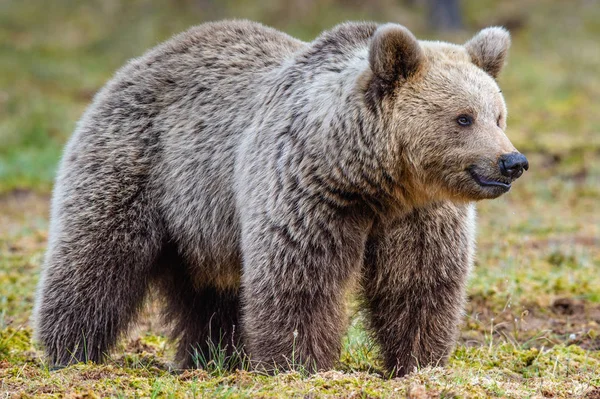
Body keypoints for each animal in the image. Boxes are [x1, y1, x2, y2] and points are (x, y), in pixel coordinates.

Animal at [34, 18, 528, 376]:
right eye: (463, 118)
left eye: (498, 115)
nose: (512, 162)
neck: (374, 180)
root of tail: (141, 60)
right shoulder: (306, 192)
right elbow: (300, 278)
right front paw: (299, 364)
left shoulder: (419, 216)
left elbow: (419, 284)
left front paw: (421, 362)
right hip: (141, 166)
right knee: (96, 259)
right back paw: (69, 351)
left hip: (205, 223)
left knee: (210, 292)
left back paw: (214, 357)